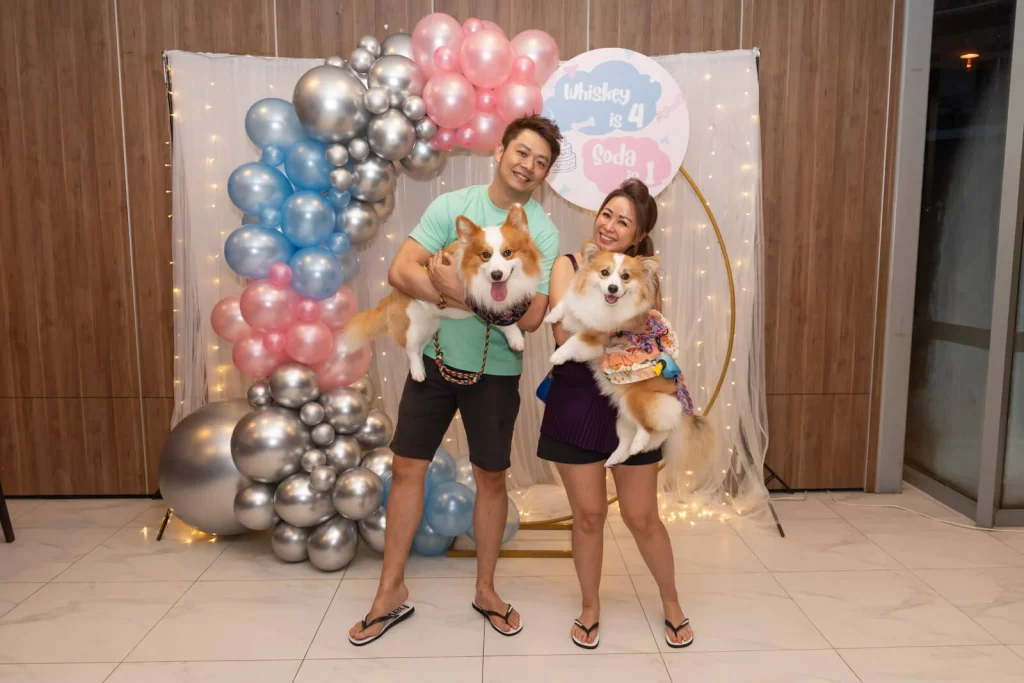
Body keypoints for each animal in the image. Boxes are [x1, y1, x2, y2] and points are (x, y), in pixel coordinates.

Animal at [339, 204, 542, 382]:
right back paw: (417, 372)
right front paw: (515, 337)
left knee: (420, 348)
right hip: (413, 327)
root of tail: (388, 298)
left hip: (428, 327)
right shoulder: (478, 300)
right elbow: (501, 317)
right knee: (411, 350)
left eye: (507, 253)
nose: (496, 275)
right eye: (485, 255)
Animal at [544, 239, 713, 467]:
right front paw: (552, 316)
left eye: (625, 277)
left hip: (636, 399)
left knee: (646, 429)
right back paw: (616, 458)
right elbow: (567, 303)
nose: (613, 288)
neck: (602, 305)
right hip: (622, 417)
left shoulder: (597, 336)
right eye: (604, 273)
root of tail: (679, 407)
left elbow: (574, 341)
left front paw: (558, 356)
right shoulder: (581, 307)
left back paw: (638, 443)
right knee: (627, 442)